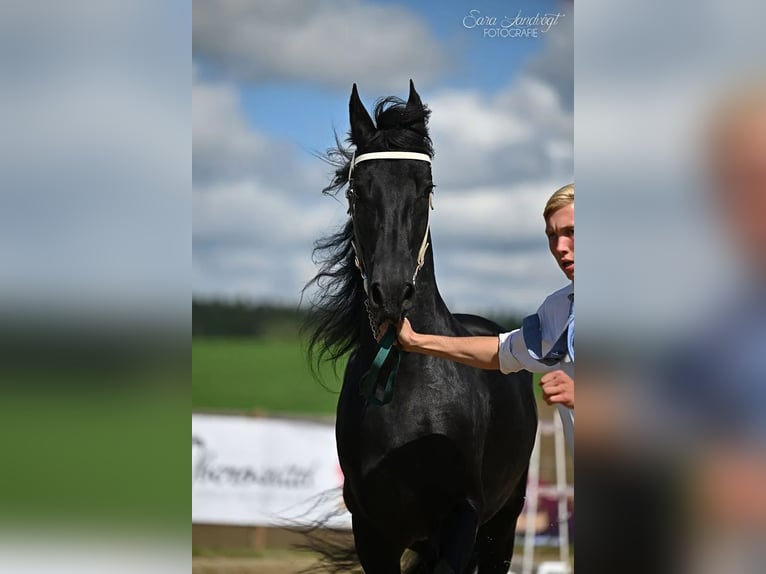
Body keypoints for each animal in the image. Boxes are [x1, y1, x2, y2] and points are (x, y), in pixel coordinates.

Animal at [305, 80, 538, 574]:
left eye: (425, 186)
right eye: (357, 190)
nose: (391, 292)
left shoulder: (463, 520)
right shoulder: (371, 530)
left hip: (503, 524)